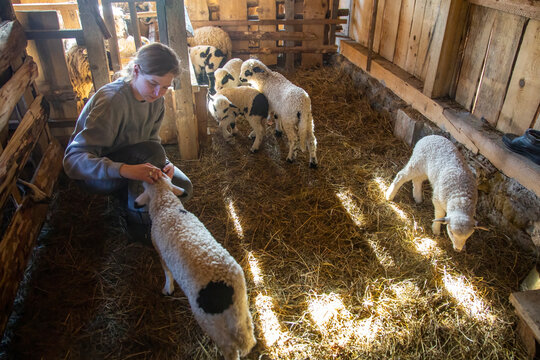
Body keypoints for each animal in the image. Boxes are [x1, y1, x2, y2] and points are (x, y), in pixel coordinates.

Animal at [133, 176, 255, 358]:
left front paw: (167, 289)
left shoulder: (160, 252)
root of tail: (228, 286)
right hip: (240, 308)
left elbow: (167, 272)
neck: (167, 206)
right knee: (248, 334)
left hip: (210, 320)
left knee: (230, 348)